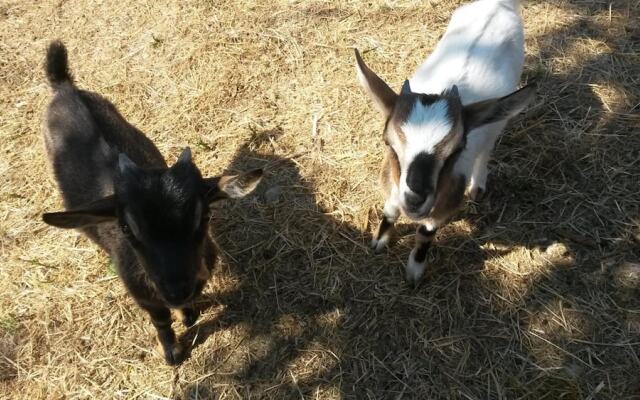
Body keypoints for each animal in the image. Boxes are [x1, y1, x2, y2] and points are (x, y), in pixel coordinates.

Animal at [42, 41, 262, 366]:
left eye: (205, 217)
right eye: (126, 228)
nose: (176, 290)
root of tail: (63, 86)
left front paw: (188, 315)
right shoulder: (144, 294)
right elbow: (160, 320)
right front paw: (172, 352)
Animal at [356, 0, 536, 284]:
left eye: (456, 150)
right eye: (389, 143)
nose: (415, 199)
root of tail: (500, 4)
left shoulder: (443, 206)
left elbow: (425, 234)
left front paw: (414, 272)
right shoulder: (393, 187)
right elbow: (391, 211)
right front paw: (379, 240)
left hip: (498, 121)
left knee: (487, 148)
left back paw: (478, 187)